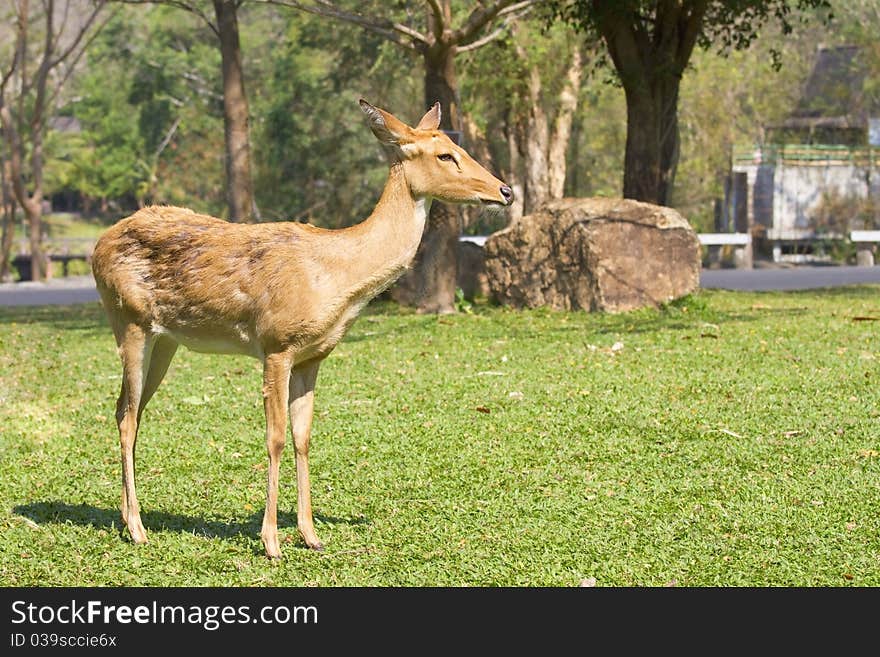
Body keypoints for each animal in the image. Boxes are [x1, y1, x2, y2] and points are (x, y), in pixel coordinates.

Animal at [89, 100, 512, 556]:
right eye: (446, 155)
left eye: (457, 145)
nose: (505, 190)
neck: (338, 276)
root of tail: (97, 246)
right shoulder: (276, 343)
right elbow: (274, 437)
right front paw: (271, 541)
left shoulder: (314, 356)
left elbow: (303, 437)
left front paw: (311, 535)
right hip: (128, 319)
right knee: (127, 415)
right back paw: (137, 528)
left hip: (166, 339)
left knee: (127, 409)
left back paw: (126, 517)